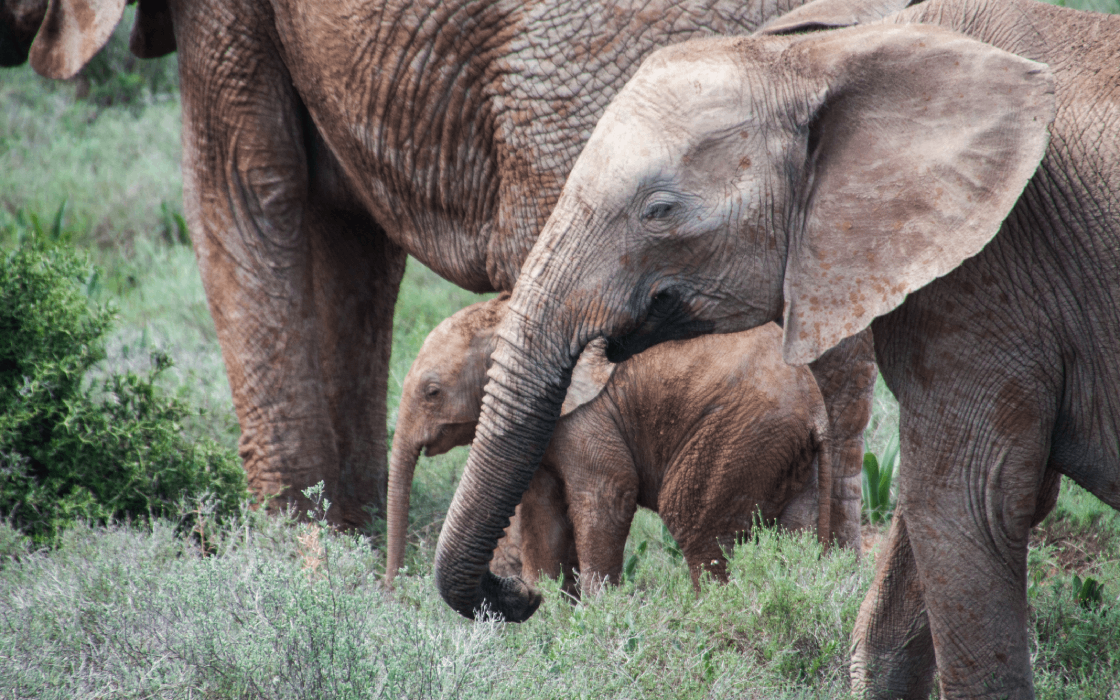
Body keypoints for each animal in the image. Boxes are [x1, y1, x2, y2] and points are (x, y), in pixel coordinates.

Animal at [386, 295, 833, 592]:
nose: (392, 589)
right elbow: (541, 512)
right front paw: (547, 613)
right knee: (796, 532)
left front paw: (598, 614)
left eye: (432, 392)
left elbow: (606, 495)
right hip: (786, 453)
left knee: (696, 526)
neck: (509, 318)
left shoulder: (588, 416)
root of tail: (816, 410)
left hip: (739, 433)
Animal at [431, 0, 1120, 697]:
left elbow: (966, 504)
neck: (833, 52)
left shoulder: (992, 271)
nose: (519, 596)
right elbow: (936, 525)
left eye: (660, 211)